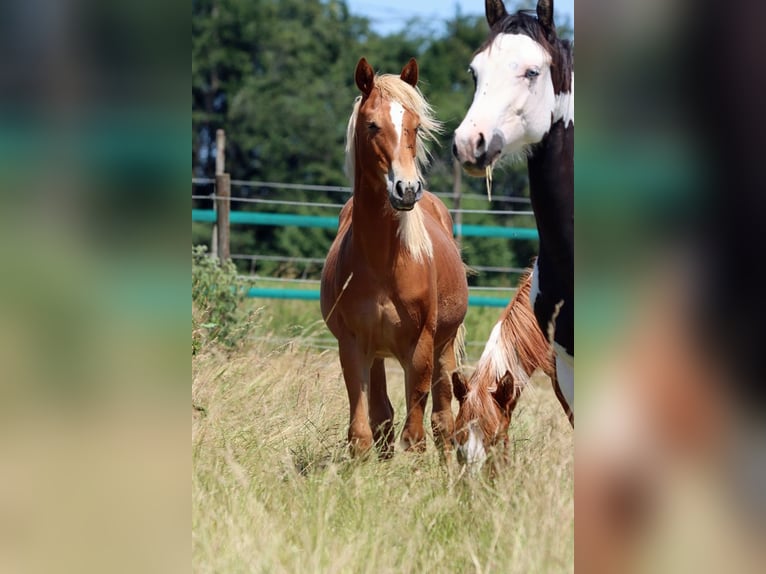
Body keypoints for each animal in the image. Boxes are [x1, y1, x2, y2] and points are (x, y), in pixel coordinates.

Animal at [320, 57, 469, 458]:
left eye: (415, 126)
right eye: (373, 125)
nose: (407, 189)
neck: (384, 263)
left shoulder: (421, 348)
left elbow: (416, 433)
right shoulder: (353, 345)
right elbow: (362, 431)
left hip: (444, 347)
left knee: (443, 419)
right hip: (378, 354)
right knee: (383, 417)